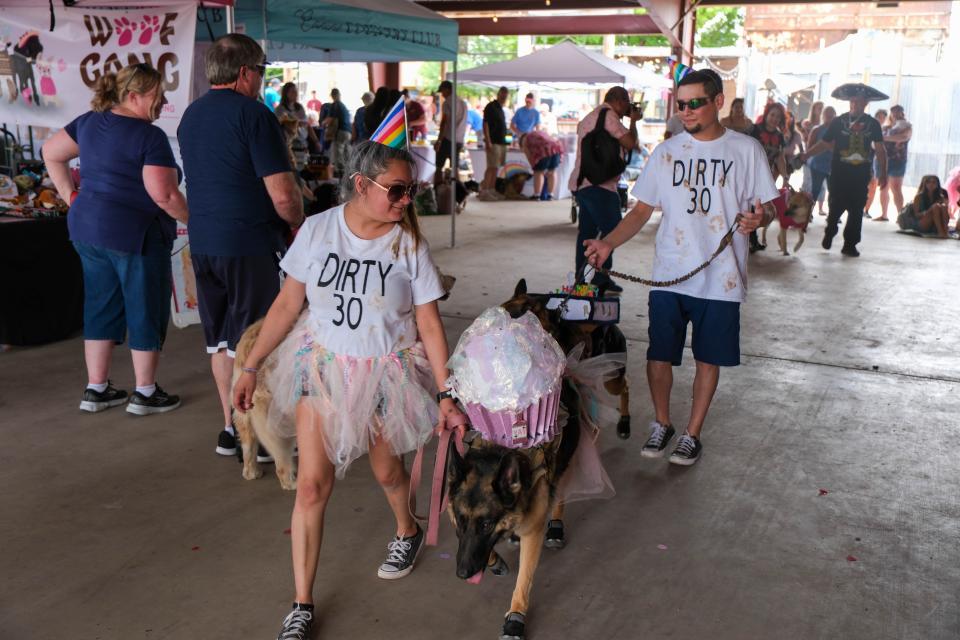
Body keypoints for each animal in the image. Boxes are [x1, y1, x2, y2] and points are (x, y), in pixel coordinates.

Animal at [448, 282, 632, 640]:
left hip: (608, 382)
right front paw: (494, 561)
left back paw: (624, 424)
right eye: (462, 520)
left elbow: (524, 580)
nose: (462, 574)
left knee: (623, 389)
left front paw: (515, 616)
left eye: (487, 524)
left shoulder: (531, 531)